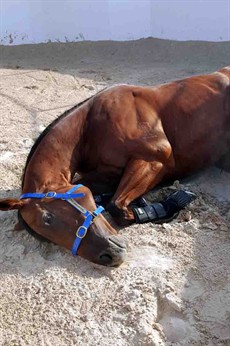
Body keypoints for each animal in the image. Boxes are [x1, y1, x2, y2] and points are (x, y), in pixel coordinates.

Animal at [0, 68, 230, 268]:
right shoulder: (106, 174)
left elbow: (117, 206)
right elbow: (111, 202)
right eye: (47, 235)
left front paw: (169, 205)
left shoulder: (154, 159)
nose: (110, 255)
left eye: (48, 218)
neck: (91, 127)